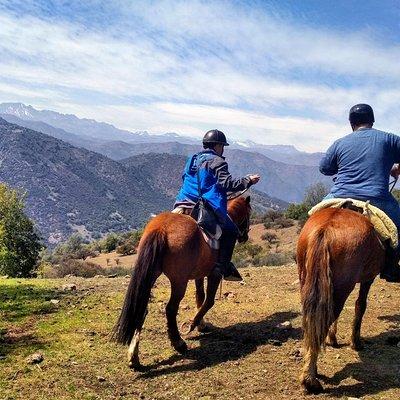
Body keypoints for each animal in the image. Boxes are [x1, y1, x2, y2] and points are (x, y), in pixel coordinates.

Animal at [112, 196, 250, 368]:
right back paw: (178, 343)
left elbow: (200, 297)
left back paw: (133, 355)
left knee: (141, 309)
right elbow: (209, 301)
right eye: (249, 213)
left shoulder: (199, 274)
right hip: (179, 282)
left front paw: (201, 324)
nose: (244, 237)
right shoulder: (214, 274)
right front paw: (193, 324)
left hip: (150, 275)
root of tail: (161, 228)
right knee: (171, 308)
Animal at [298, 209, 386, 394]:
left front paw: (333, 339)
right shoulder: (368, 279)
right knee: (324, 320)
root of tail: (324, 229)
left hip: (307, 281)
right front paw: (356, 342)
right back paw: (310, 380)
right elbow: (360, 305)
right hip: (344, 285)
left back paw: (312, 371)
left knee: (313, 322)